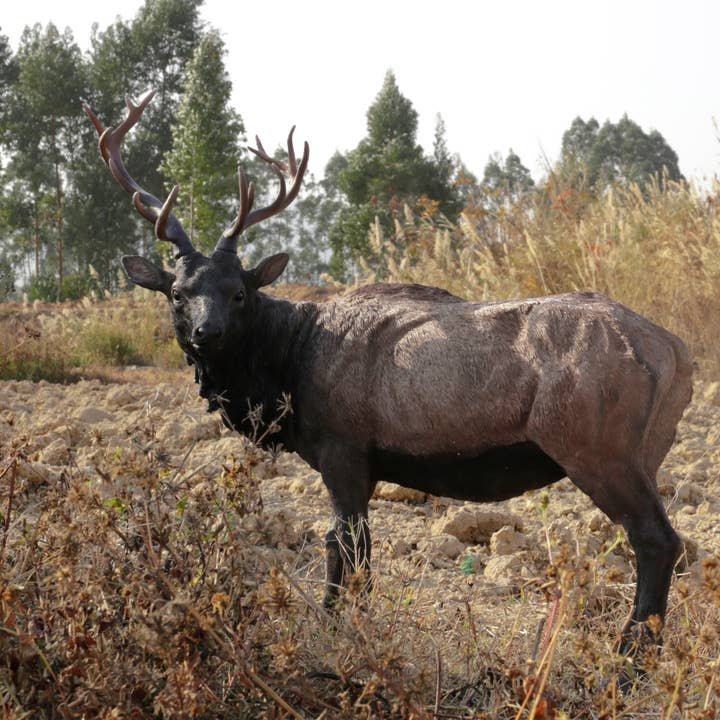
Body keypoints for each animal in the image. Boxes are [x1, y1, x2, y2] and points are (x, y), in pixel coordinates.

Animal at [84, 91, 693, 674]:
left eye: (239, 291)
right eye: (177, 292)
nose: (205, 334)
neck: (287, 372)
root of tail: (677, 354)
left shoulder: (343, 446)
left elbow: (345, 546)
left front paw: (334, 631)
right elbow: (358, 549)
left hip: (596, 445)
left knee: (658, 540)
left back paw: (628, 662)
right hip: (643, 453)